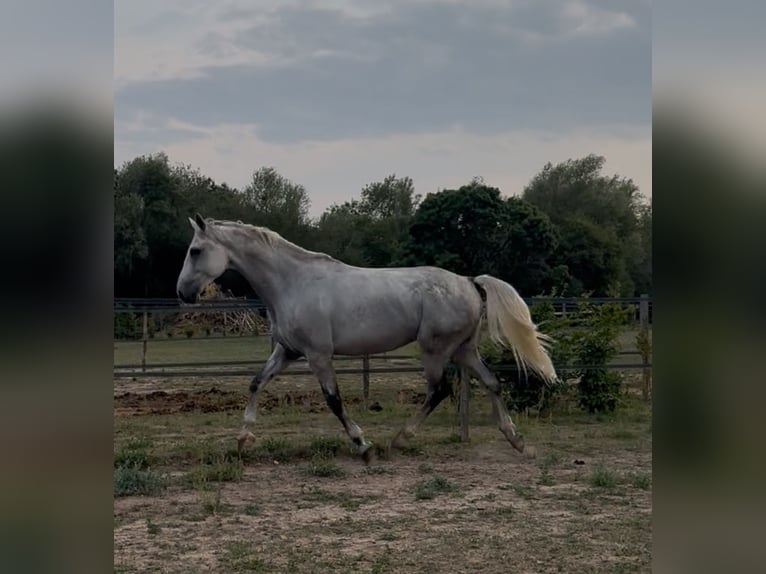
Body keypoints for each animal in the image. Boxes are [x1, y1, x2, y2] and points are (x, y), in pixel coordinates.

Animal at [176, 214, 557, 463]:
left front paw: (363, 444)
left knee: (439, 391)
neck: (293, 283)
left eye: (195, 250)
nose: (182, 293)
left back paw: (399, 441)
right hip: (464, 349)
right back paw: (517, 441)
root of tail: (469, 281)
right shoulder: (287, 352)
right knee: (492, 383)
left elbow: (334, 401)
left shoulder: (318, 355)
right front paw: (243, 439)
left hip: (435, 350)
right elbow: (255, 383)